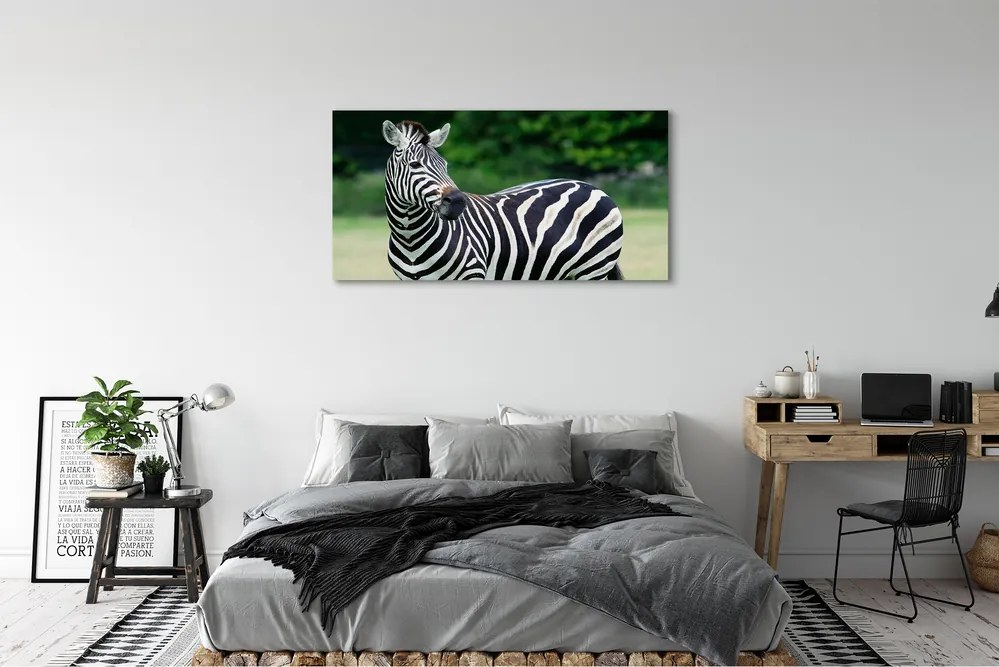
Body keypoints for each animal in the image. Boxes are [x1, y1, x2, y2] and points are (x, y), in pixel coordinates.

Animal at [381, 120, 625, 280]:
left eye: (445, 165)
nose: (458, 202)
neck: (410, 238)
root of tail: (591, 186)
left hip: (593, 269)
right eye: (415, 165)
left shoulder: (472, 274)